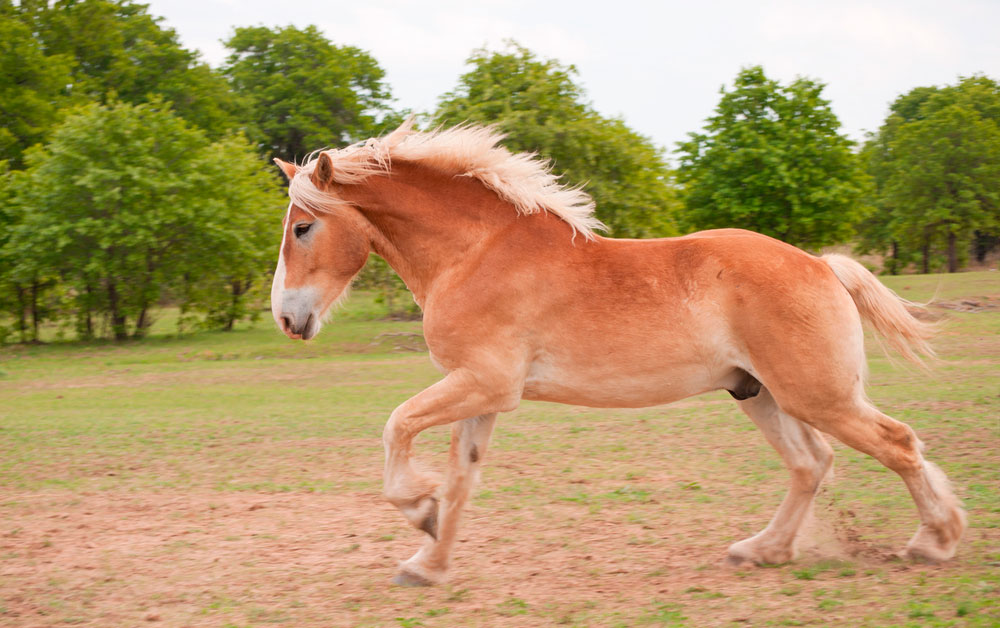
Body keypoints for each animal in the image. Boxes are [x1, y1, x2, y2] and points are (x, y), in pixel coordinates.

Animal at [270, 119, 964, 588]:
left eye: (303, 227)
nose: (287, 318)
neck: (475, 253)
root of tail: (822, 266)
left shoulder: (486, 383)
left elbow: (397, 428)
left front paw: (418, 511)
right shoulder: (480, 392)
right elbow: (462, 479)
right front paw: (429, 560)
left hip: (817, 395)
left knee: (897, 444)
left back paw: (934, 542)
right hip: (759, 393)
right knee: (811, 465)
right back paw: (761, 550)